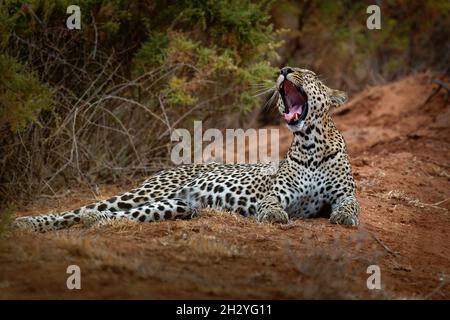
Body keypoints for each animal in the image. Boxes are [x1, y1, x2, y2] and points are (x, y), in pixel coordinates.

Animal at [12, 67, 360, 232]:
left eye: (309, 74)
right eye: (289, 70)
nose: (285, 69)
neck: (310, 143)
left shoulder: (345, 193)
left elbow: (351, 205)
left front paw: (344, 217)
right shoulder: (278, 192)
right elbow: (272, 202)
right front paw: (274, 214)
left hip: (174, 205)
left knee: (111, 215)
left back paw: (96, 222)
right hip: (146, 193)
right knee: (78, 210)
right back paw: (27, 223)